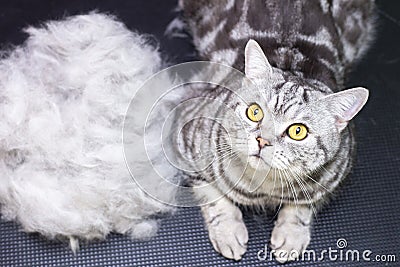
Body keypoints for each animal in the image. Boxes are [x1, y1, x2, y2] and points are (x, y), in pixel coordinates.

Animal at [178, 0, 376, 264]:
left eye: (298, 131)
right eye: (255, 112)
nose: (262, 140)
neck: (263, 188)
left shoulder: (338, 173)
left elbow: (305, 204)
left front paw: (291, 233)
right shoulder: (183, 132)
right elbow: (212, 194)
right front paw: (228, 231)